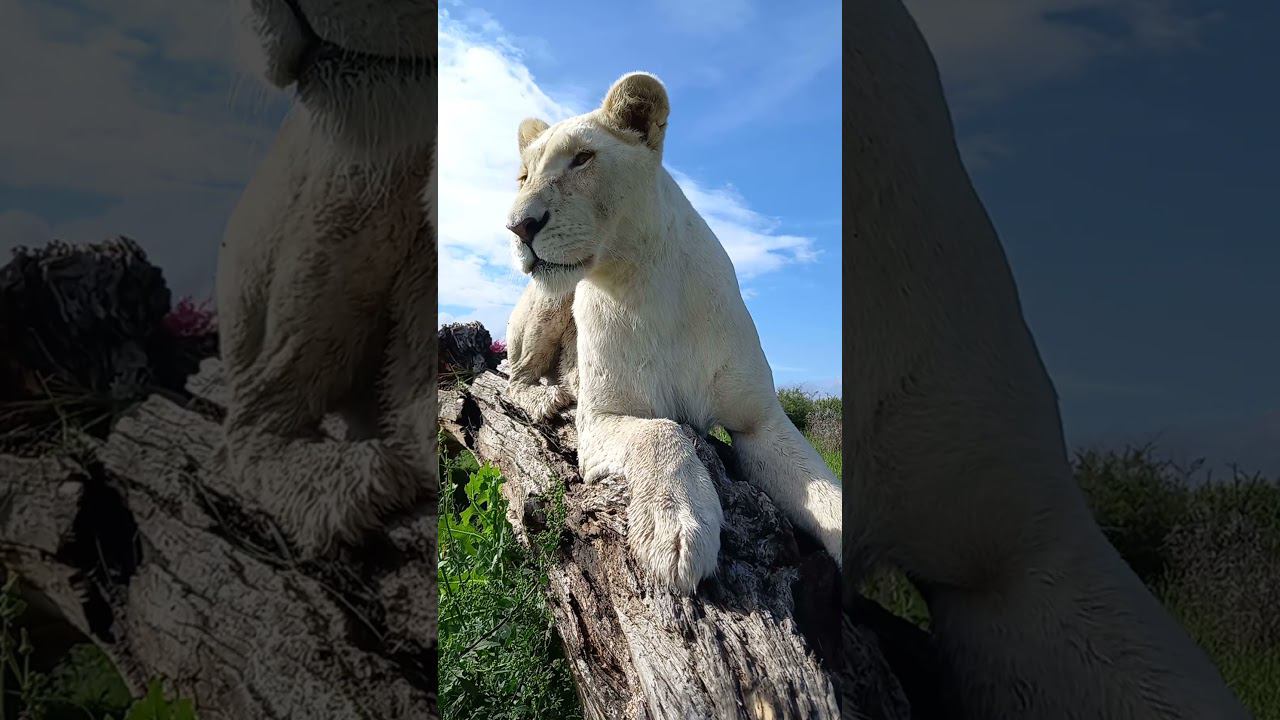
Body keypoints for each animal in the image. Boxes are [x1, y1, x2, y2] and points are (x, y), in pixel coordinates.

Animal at [502, 72, 841, 594]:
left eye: (582, 158)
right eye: (523, 177)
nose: (518, 226)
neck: (647, 281)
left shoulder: (760, 421)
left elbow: (823, 487)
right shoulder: (600, 418)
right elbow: (663, 431)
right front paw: (675, 526)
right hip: (546, 302)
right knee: (512, 375)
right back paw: (549, 395)